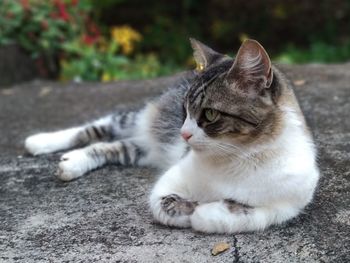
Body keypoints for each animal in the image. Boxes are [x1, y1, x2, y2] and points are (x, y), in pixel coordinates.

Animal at [24, 38, 320, 233]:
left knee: (113, 147)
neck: (240, 157)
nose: (184, 133)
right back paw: (41, 142)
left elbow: (251, 215)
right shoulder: (172, 178)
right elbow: (162, 203)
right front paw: (189, 209)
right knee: (99, 126)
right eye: (184, 110)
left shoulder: (289, 202)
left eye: (210, 114)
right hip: (140, 120)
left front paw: (208, 212)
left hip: (143, 149)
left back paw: (72, 162)